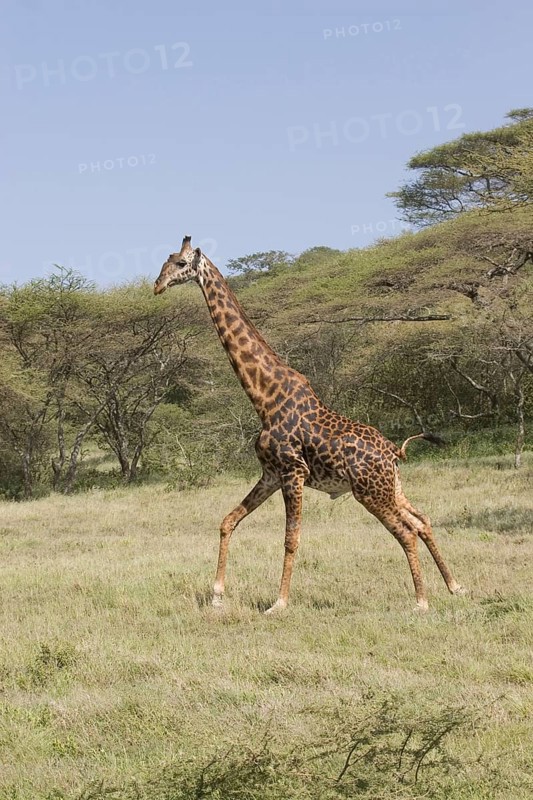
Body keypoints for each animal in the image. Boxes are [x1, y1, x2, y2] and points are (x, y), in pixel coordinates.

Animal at [154, 236, 465, 613]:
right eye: (167, 259)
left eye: (182, 264)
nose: (157, 285)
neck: (264, 398)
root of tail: (393, 451)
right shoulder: (270, 474)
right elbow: (228, 522)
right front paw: (216, 595)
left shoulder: (293, 471)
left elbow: (291, 539)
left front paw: (279, 603)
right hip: (392, 487)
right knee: (422, 521)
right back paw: (454, 586)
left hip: (370, 492)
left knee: (406, 531)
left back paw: (421, 601)